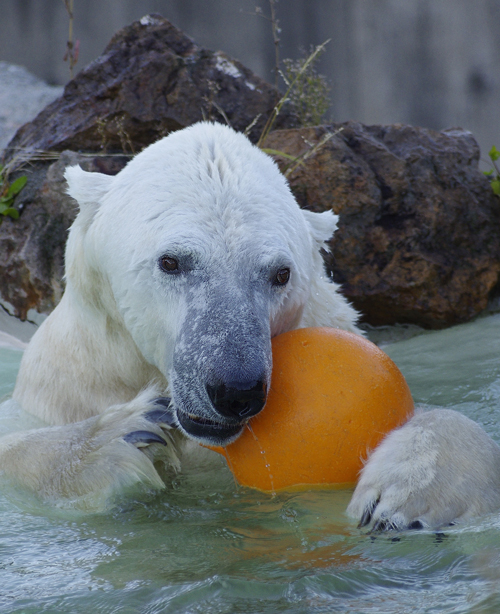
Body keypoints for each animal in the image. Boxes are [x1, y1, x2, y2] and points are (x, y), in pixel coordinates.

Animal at [2, 121, 500, 528]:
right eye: (171, 261)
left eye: (280, 273)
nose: (235, 390)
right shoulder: (66, 386)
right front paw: (123, 436)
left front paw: (410, 497)